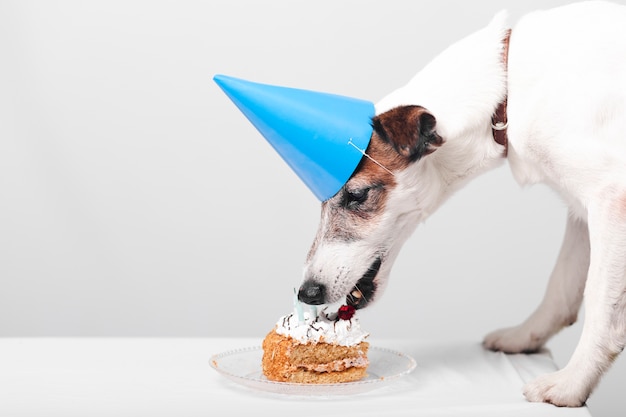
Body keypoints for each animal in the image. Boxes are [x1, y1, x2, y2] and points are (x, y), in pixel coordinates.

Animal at [296, 0, 624, 406]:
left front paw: (572, 383)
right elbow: (562, 286)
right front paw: (526, 337)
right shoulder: (581, 210)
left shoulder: (611, 198)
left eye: (356, 195)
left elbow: (601, 302)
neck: (508, 92)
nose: (306, 292)